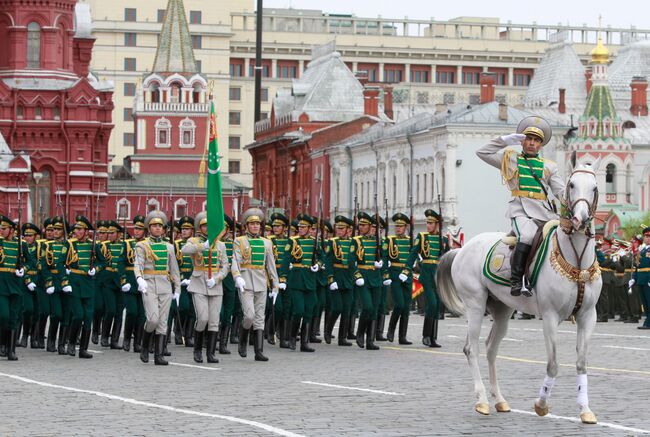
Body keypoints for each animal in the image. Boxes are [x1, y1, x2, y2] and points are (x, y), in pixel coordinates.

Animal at [438, 157, 600, 422]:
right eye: (572, 184)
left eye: (595, 187)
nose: (581, 219)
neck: (576, 261)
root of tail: (462, 248)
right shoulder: (550, 317)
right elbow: (553, 364)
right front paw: (541, 404)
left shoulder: (588, 316)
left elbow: (582, 363)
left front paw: (585, 410)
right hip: (475, 305)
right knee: (471, 349)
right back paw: (482, 401)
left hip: (502, 310)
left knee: (490, 349)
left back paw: (500, 400)